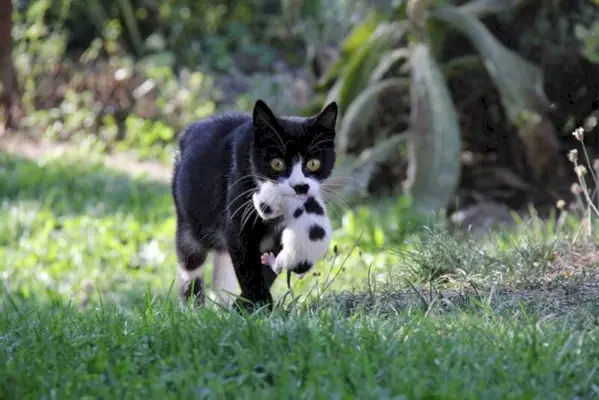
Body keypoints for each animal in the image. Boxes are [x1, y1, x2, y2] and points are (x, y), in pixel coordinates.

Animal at [171, 98, 338, 310]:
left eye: (313, 163)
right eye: (277, 163)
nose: (300, 186)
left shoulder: (279, 233)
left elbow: (267, 270)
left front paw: (246, 306)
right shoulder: (238, 222)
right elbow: (248, 267)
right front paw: (259, 306)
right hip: (187, 221)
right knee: (190, 264)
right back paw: (194, 309)